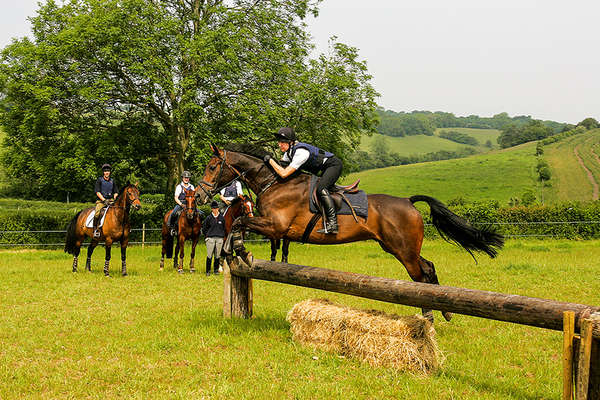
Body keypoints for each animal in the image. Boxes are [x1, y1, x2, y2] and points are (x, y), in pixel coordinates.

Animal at [196, 144, 502, 322]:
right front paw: (236, 249)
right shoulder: (273, 228)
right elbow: (240, 223)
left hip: (403, 249)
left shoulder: (276, 226)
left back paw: (431, 314)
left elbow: (239, 221)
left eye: (212, 167)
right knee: (428, 267)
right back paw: (444, 311)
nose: (199, 195)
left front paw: (235, 249)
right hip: (397, 247)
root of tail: (408, 202)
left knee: (421, 274)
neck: (275, 182)